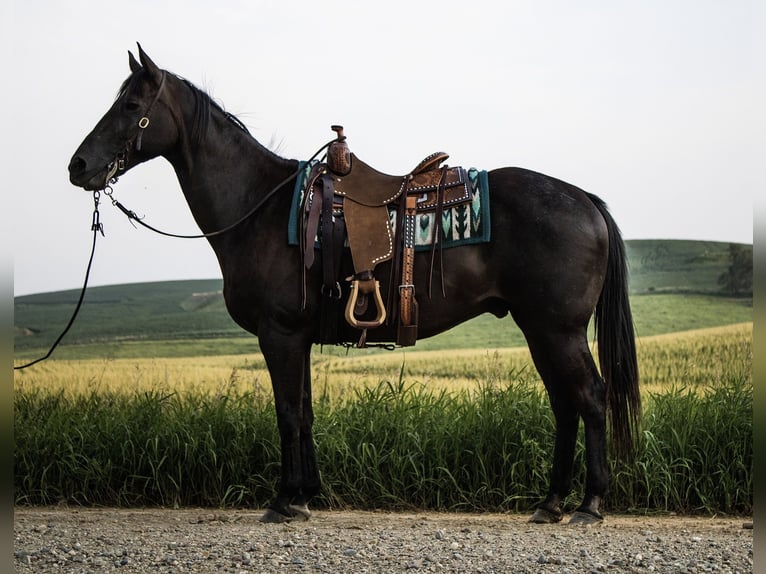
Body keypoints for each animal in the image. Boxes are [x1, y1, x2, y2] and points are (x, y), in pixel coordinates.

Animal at [68, 45, 640, 525]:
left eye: (132, 104)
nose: (78, 165)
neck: (260, 207)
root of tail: (585, 199)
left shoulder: (279, 335)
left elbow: (287, 414)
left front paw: (284, 501)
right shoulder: (296, 337)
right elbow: (304, 414)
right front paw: (307, 496)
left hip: (558, 330)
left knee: (590, 398)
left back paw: (588, 504)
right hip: (539, 329)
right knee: (565, 404)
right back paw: (550, 503)